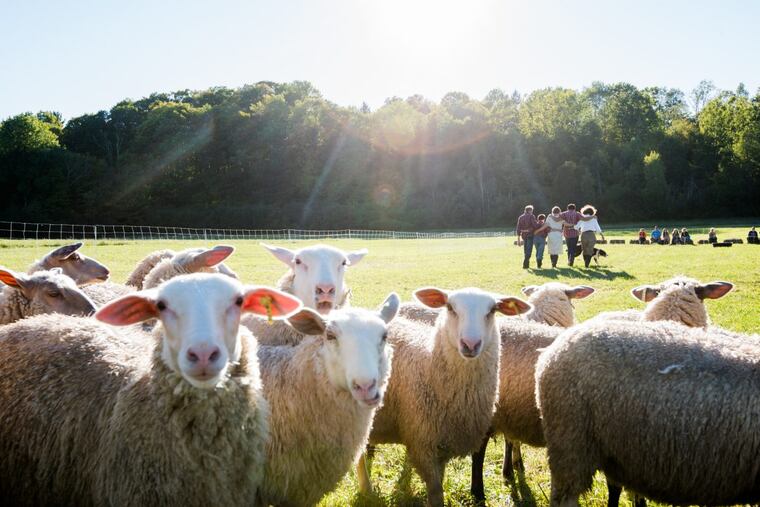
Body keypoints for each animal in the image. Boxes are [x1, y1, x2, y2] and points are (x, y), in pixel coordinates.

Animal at [357, 287, 532, 507]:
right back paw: (366, 488)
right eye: (450, 307)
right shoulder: (426, 446)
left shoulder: (439, 445)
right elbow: (436, 494)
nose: (470, 344)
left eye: (492, 310)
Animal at [470, 284, 595, 503]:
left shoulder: (513, 406)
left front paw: (511, 468)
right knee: (478, 453)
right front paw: (513, 467)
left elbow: (511, 440)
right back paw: (478, 493)